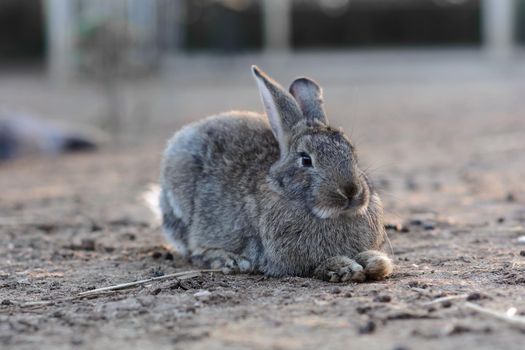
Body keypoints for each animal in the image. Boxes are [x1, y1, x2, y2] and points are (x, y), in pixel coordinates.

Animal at [159, 67, 388, 284]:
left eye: (352, 152)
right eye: (306, 159)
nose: (350, 191)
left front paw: (378, 263)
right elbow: (320, 264)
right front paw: (346, 268)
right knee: (194, 249)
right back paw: (231, 260)